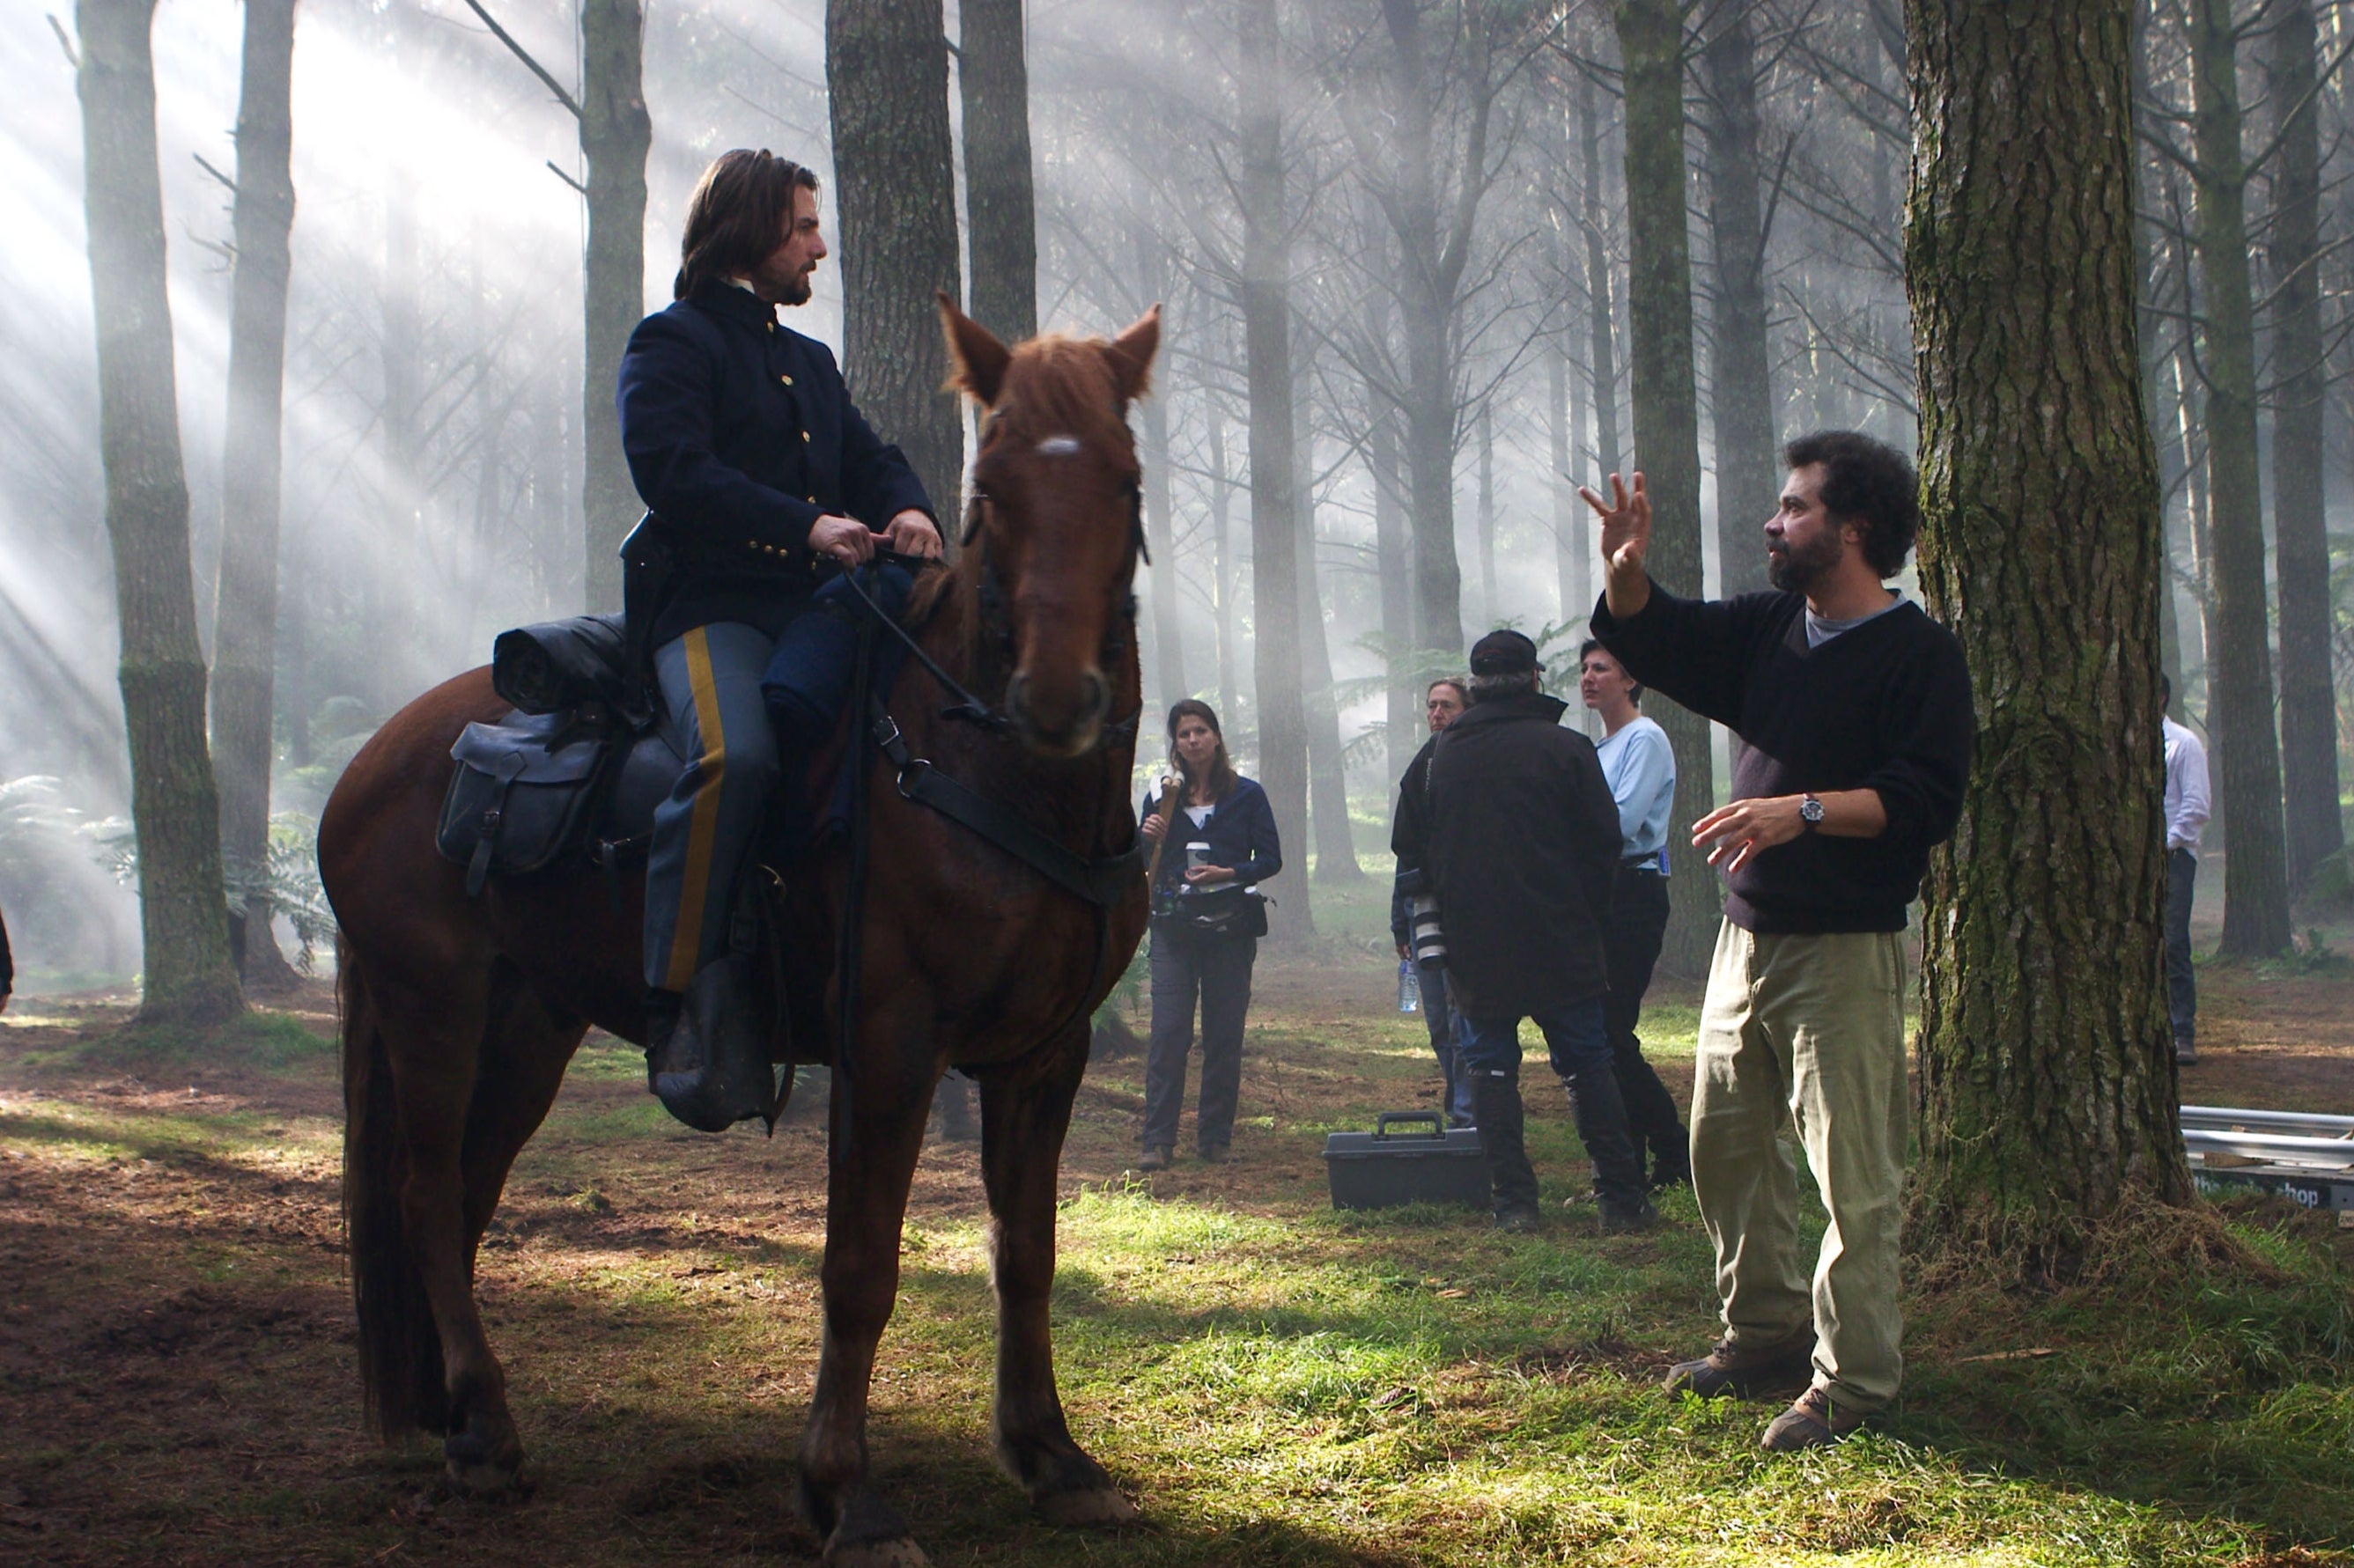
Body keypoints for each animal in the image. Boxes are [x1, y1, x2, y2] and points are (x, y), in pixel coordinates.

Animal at [313, 298, 1158, 1553]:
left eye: (1126, 480)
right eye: (993, 486)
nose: (1056, 697)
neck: (974, 765)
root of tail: (372, 757)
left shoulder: (1045, 1053)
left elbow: (1030, 1253)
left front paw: (1051, 1453)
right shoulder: (889, 1044)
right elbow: (860, 1265)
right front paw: (846, 1494)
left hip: (530, 1024)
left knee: (466, 1186)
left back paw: (462, 1419)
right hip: (434, 1008)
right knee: (423, 1192)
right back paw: (487, 1428)